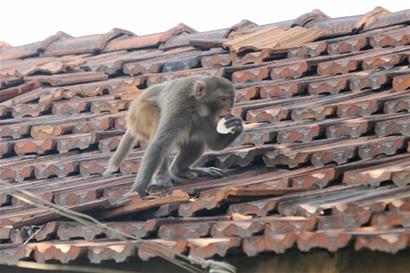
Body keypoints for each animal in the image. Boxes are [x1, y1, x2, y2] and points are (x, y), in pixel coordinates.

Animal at [103, 75, 243, 197]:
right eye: (223, 99)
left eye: (231, 99)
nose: (229, 109)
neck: (197, 107)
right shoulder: (179, 103)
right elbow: (159, 144)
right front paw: (138, 190)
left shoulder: (209, 118)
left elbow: (214, 144)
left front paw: (236, 125)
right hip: (140, 113)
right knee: (159, 133)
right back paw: (161, 177)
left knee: (195, 143)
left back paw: (180, 170)